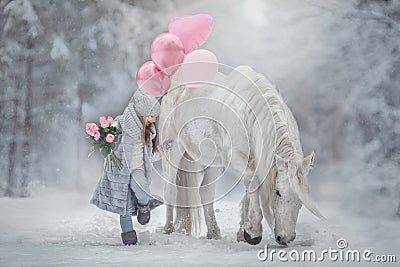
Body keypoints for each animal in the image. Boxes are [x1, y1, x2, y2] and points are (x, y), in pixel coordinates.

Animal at [158, 66, 324, 246]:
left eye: (302, 196)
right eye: (277, 192)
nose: (286, 238)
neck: (248, 114)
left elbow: (249, 190)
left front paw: (243, 233)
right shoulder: (235, 159)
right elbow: (253, 181)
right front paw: (253, 232)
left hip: (214, 164)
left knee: (205, 192)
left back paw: (214, 233)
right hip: (173, 151)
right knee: (170, 190)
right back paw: (168, 229)